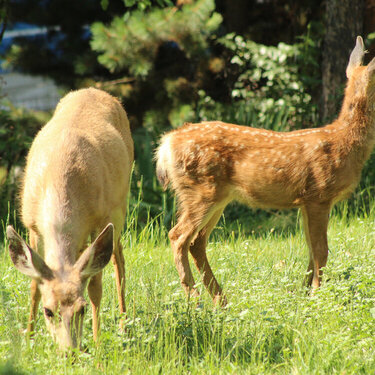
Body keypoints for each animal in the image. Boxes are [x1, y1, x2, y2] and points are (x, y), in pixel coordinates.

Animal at [6, 87, 134, 350]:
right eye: (48, 311)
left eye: (81, 309)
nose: (70, 351)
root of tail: (95, 89)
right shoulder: (32, 225)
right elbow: (34, 286)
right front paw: (28, 337)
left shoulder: (100, 219)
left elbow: (95, 285)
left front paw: (96, 341)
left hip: (119, 208)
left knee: (118, 259)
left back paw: (123, 325)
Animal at [155, 36, 375, 306]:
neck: (344, 142)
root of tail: (166, 144)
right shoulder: (319, 195)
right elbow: (321, 251)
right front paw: (316, 295)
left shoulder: (305, 202)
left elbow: (310, 250)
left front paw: (304, 292)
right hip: (200, 192)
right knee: (177, 236)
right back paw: (195, 299)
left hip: (216, 197)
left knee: (196, 243)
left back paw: (221, 301)